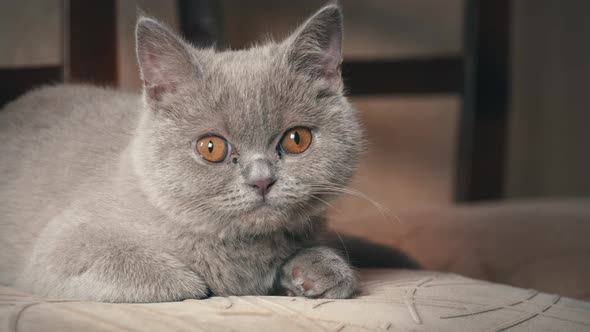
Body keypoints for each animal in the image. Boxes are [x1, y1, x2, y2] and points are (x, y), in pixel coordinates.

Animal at [0, 3, 366, 302]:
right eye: (211, 147)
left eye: (296, 139)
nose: (262, 180)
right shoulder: (63, 245)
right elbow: (168, 278)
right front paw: (195, 281)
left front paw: (320, 270)